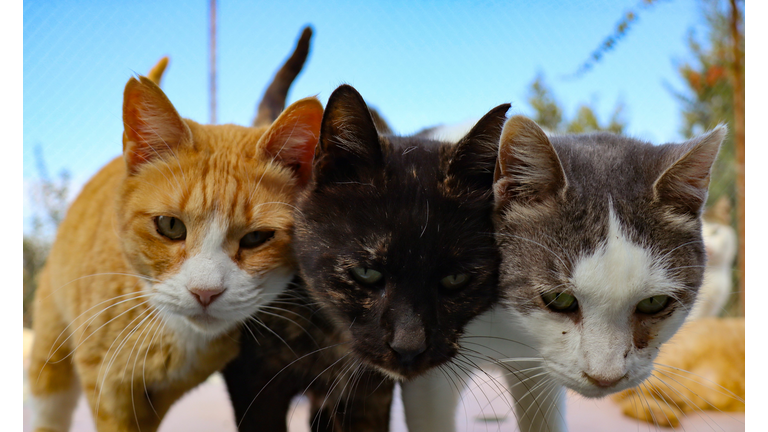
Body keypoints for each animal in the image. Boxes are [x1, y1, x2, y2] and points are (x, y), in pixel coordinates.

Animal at [28, 71, 322, 432]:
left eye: (256, 238)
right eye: (170, 225)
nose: (205, 292)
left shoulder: (162, 398)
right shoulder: (107, 387)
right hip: (51, 355)